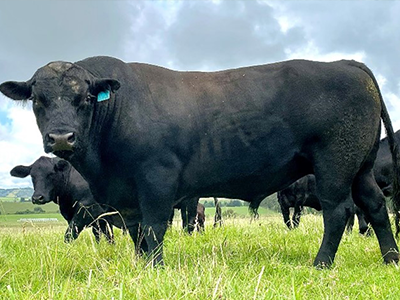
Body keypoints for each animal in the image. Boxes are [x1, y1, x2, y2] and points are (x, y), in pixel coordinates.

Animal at [1, 56, 398, 268]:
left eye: (84, 98)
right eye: (37, 99)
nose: (61, 137)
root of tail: (345, 64)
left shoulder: (157, 180)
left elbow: (154, 228)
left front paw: (156, 268)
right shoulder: (126, 197)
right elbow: (135, 231)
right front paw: (140, 265)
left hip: (335, 165)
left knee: (339, 212)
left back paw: (321, 263)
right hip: (360, 168)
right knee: (376, 207)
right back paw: (390, 258)